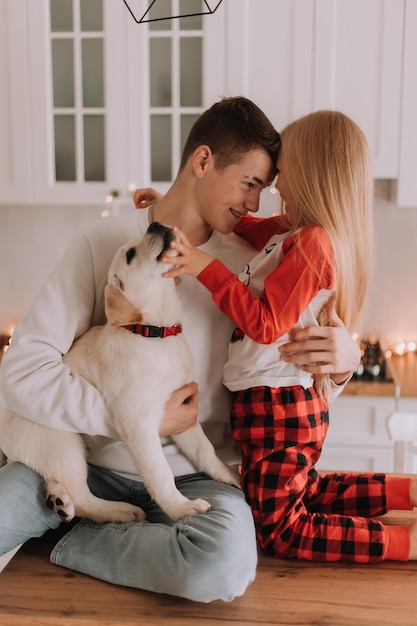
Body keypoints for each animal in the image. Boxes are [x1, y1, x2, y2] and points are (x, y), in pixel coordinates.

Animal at [0, 222, 240, 524]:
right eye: (129, 254)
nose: (156, 224)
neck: (153, 335)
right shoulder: (139, 422)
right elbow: (161, 473)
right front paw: (181, 508)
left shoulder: (184, 410)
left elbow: (205, 450)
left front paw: (230, 474)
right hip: (62, 442)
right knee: (82, 497)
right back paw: (122, 511)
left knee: (60, 483)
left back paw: (58, 500)